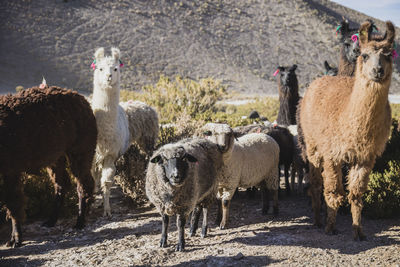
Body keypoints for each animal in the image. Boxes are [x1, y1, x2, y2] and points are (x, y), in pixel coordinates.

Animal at [0, 87, 97, 248]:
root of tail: (81, 98)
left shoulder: (11, 168)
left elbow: (13, 202)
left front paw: (16, 239)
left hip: (81, 147)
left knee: (83, 183)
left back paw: (80, 221)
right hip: (56, 155)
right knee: (62, 183)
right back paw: (51, 220)